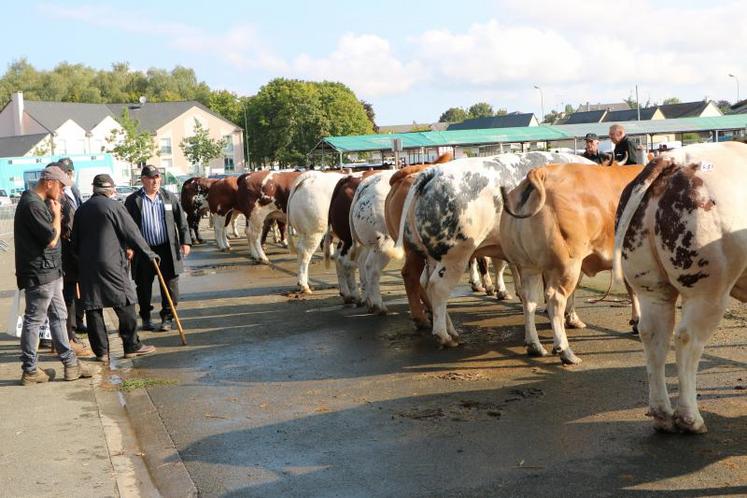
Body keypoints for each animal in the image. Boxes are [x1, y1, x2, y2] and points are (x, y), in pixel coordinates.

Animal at [496, 163, 644, 366]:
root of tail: (541, 172)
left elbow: (632, 290)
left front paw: (637, 321)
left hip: (528, 266)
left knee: (529, 299)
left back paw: (534, 345)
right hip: (568, 265)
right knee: (555, 299)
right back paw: (565, 351)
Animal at [612, 140, 747, 432]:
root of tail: (674, 160)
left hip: (650, 286)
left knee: (653, 335)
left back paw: (662, 413)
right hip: (707, 291)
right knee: (687, 338)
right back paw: (690, 418)